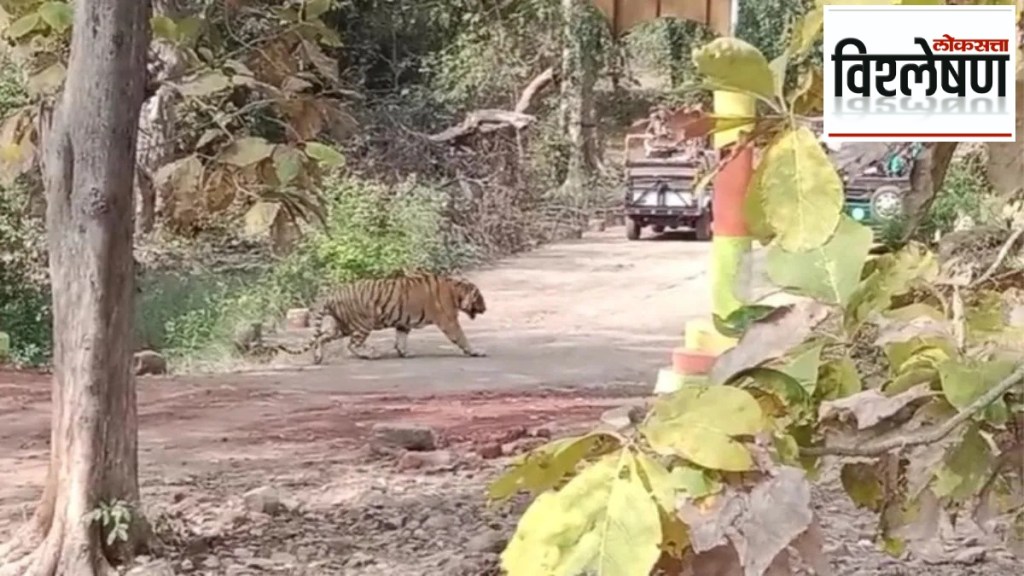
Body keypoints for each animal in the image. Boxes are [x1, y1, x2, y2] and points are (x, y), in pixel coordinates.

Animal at [276, 270, 487, 360]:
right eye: (480, 298)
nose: (485, 309)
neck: (455, 291)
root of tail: (332, 295)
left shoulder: (403, 323)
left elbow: (401, 338)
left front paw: (404, 353)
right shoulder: (449, 321)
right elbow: (461, 337)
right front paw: (476, 351)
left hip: (341, 326)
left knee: (321, 337)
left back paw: (318, 358)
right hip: (362, 324)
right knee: (353, 344)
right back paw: (371, 354)